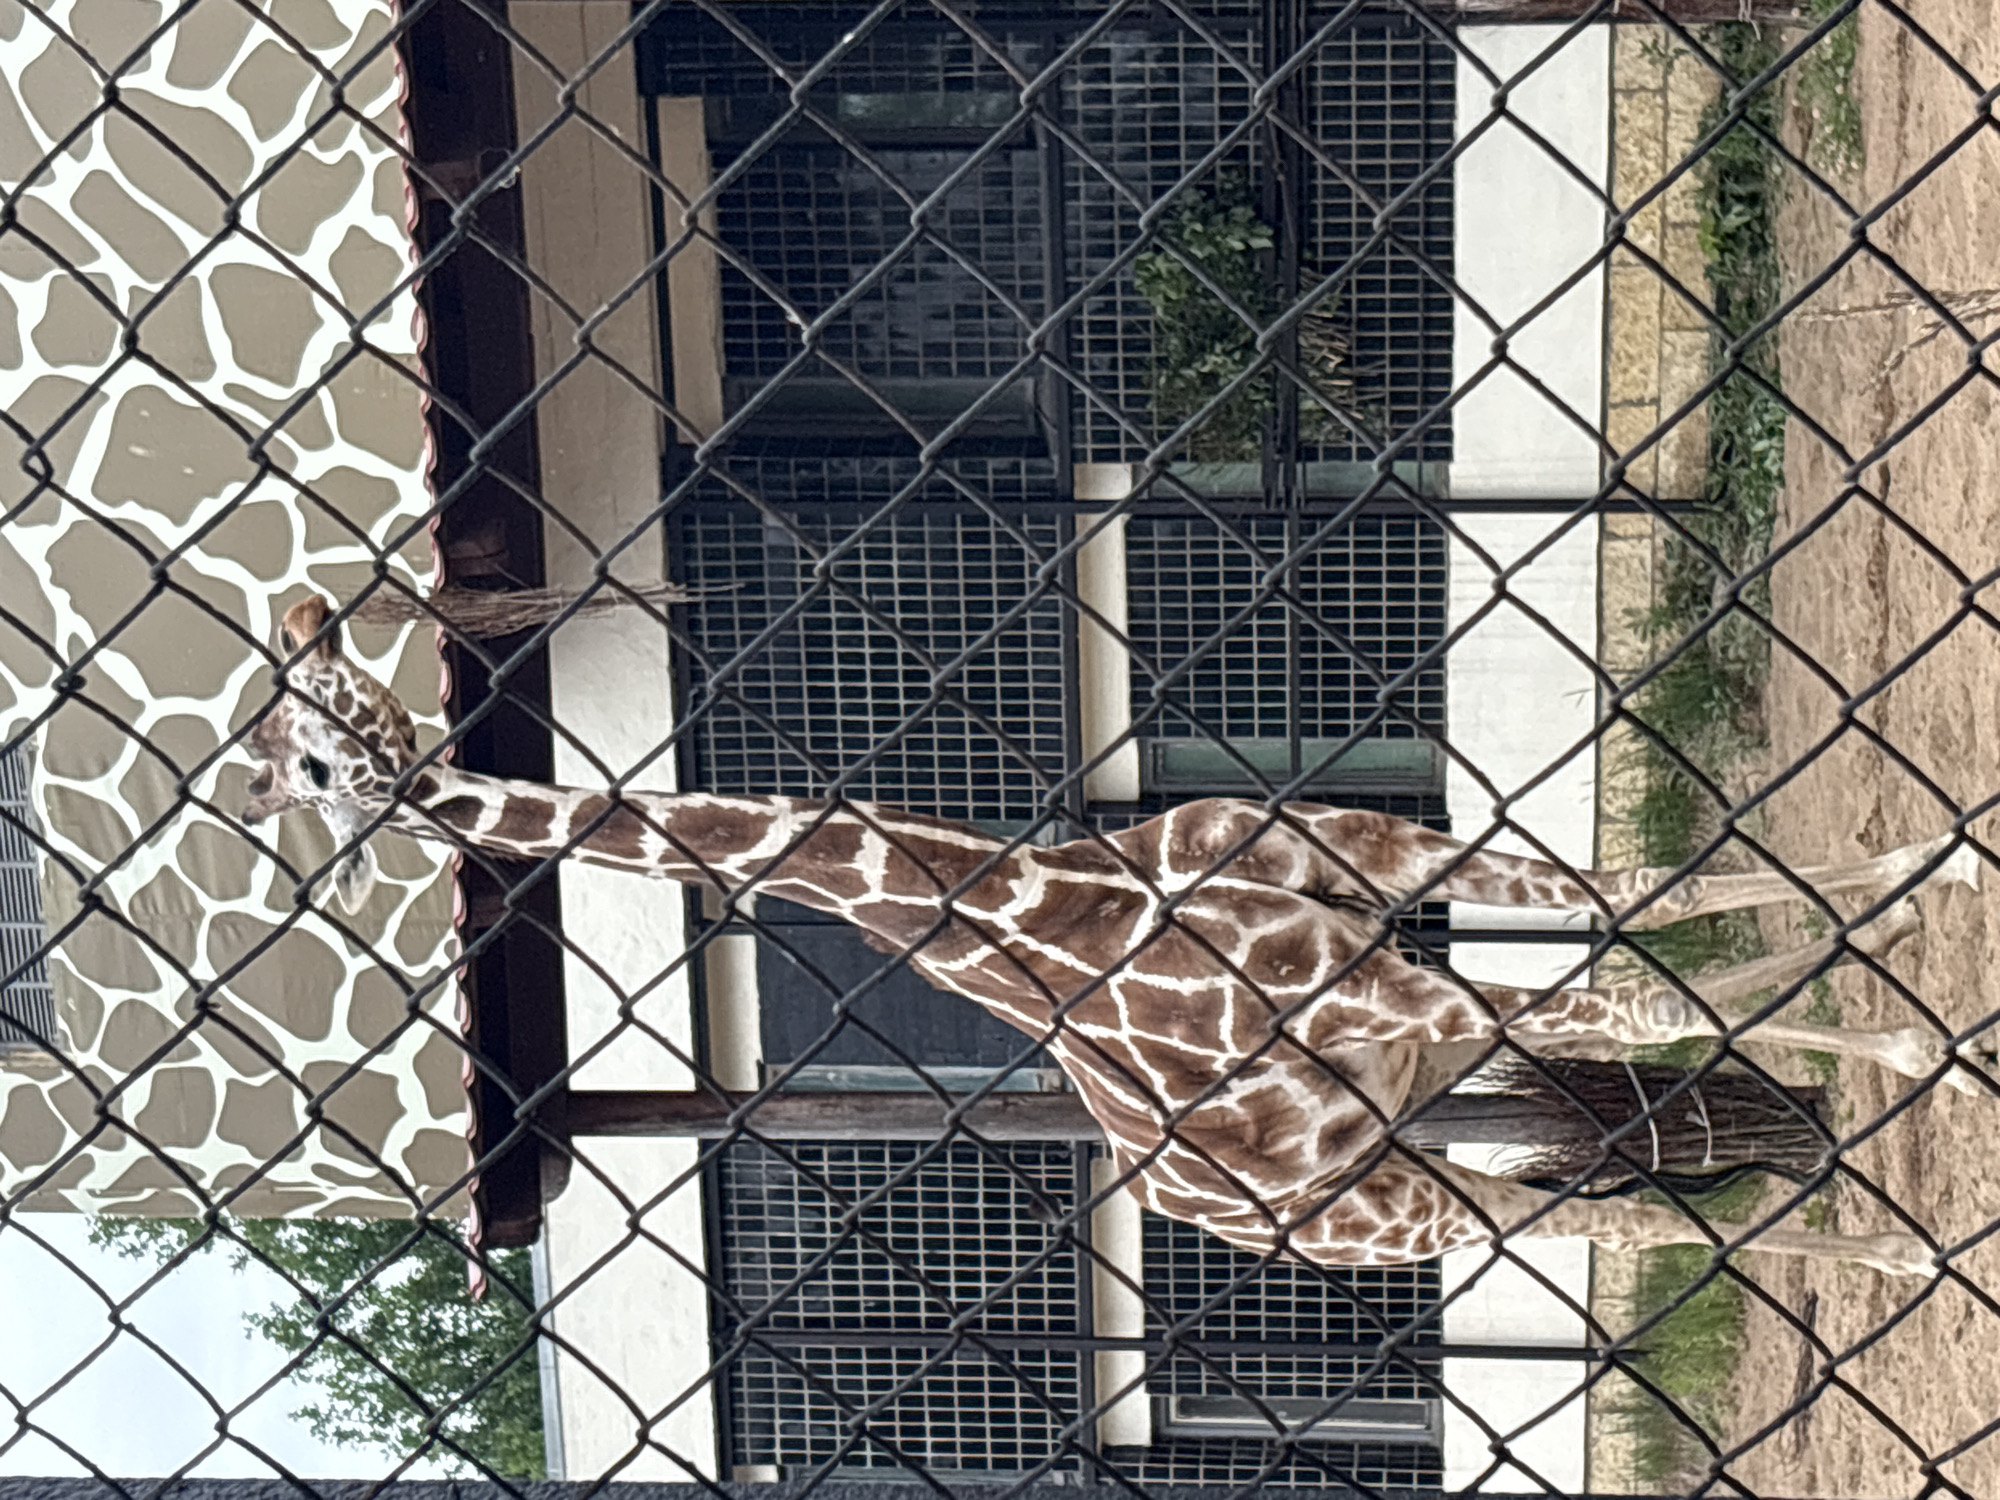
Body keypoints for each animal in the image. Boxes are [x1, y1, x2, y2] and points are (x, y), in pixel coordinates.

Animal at [244, 594, 1992, 1278]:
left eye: (342, 709)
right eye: (303, 760)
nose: (376, 789)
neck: (1071, 904)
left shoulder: (1387, 879)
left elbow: (1639, 907)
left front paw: (1929, 883)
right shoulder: (1372, 997)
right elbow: (1632, 987)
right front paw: (1919, 1043)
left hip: (1407, 1129)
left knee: (1612, 1100)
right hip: (1388, 1204)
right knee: (1606, 1219)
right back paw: (1893, 1223)